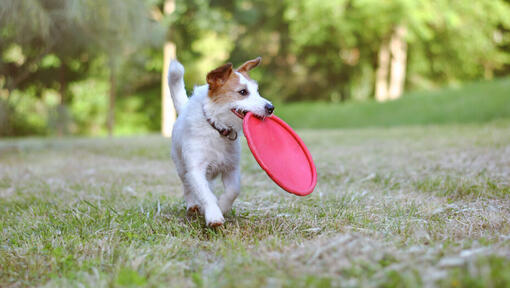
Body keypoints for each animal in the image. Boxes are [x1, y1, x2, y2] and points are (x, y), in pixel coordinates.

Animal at [168, 57, 274, 226]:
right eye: (243, 92)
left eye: (257, 91)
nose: (271, 107)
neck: (217, 129)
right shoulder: (196, 169)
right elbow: (205, 194)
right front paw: (214, 215)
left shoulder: (231, 168)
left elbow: (233, 191)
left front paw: (222, 206)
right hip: (181, 167)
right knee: (187, 186)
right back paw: (192, 205)